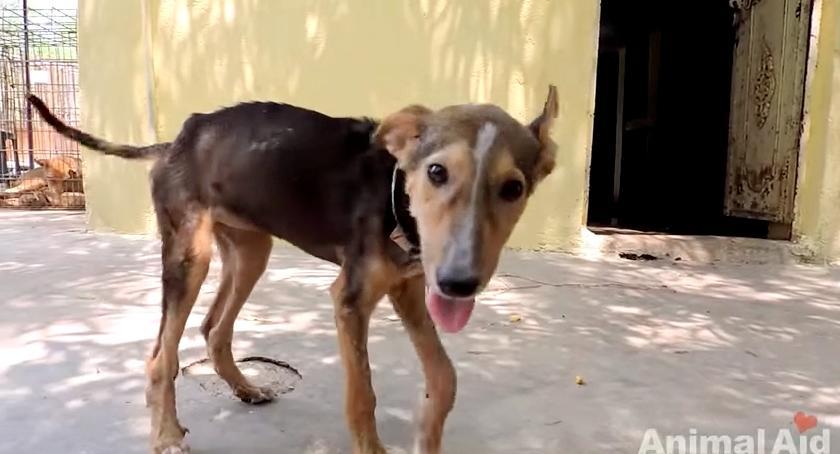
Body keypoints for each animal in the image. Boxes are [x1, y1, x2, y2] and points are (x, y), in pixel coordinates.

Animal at [27, 87, 556, 452]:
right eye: (437, 172)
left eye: (513, 189)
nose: (459, 282)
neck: (395, 197)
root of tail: (178, 139)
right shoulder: (350, 299)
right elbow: (362, 396)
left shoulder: (408, 289)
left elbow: (445, 377)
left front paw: (428, 434)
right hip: (189, 254)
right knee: (162, 355)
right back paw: (167, 436)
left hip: (249, 251)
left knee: (214, 328)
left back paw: (243, 389)